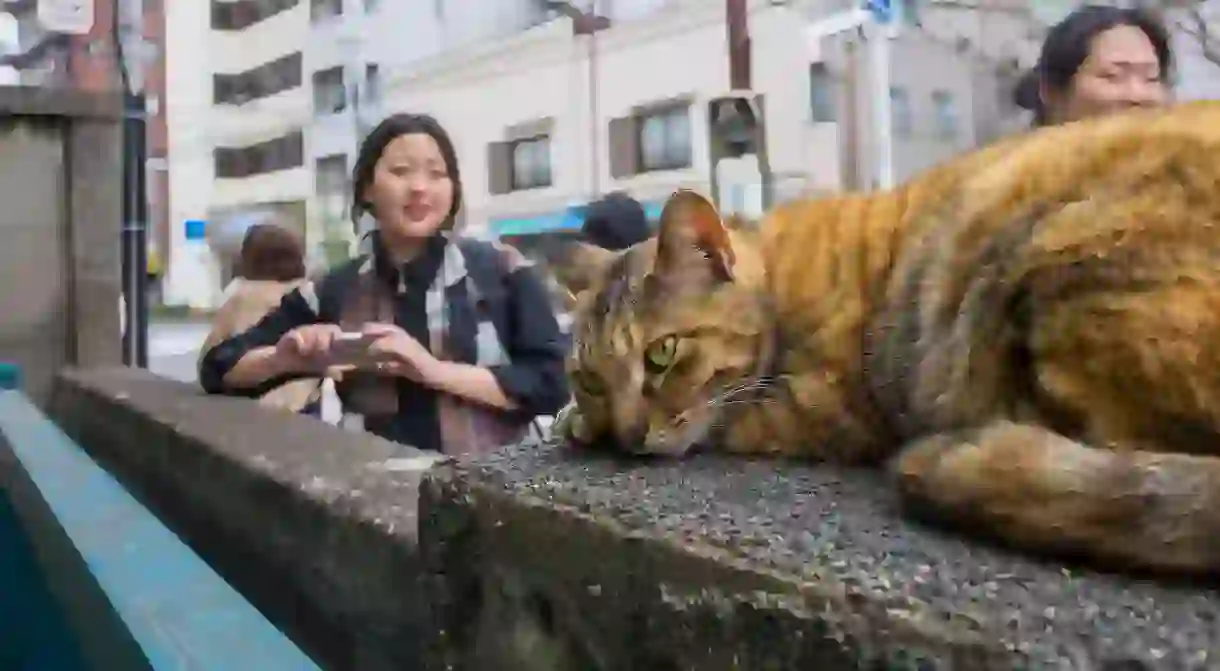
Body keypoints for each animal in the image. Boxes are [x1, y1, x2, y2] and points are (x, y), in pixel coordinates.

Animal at [553, 101, 1220, 578]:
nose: (627, 434)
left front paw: (575, 423)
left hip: (1055, 249)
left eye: (661, 354)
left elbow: (728, 419)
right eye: (589, 377)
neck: (781, 281)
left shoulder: (826, 406)